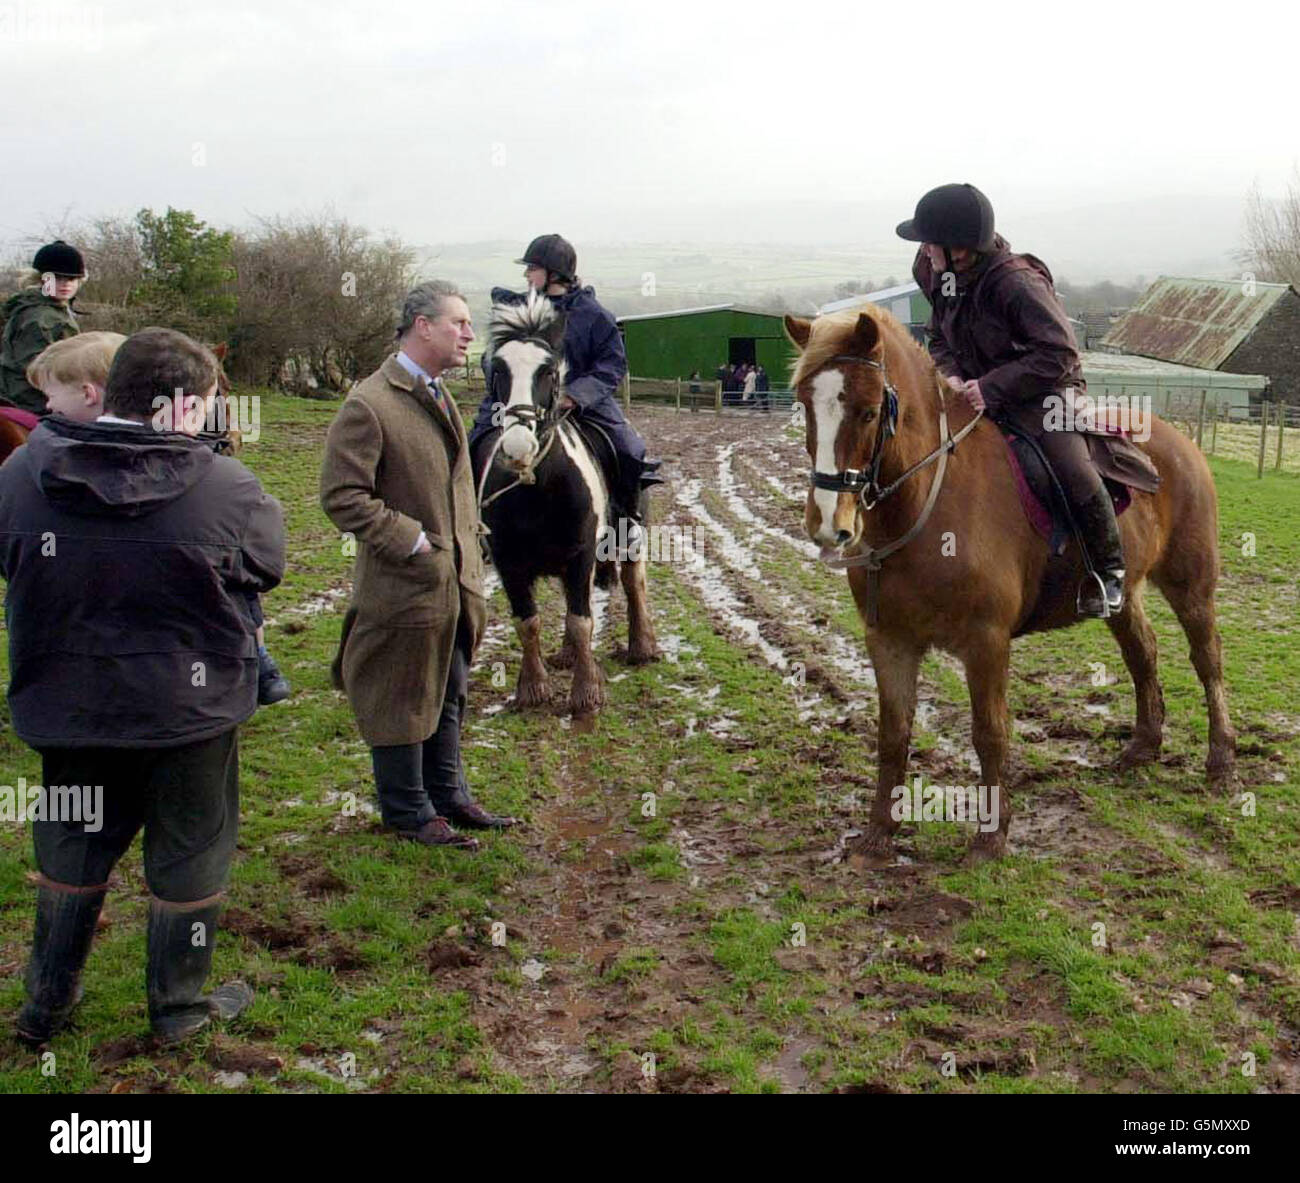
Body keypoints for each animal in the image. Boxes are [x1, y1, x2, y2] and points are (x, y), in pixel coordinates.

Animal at [478, 291, 660, 717]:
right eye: (498, 369)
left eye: (548, 371)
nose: (518, 448)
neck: (536, 487)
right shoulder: (508, 562)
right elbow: (527, 622)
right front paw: (532, 688)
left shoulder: (581, 554)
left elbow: (583, 621)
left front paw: (586, 692)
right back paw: (565, 654)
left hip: (629, 533)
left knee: (634, 583)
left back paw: (641, 646)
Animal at [785, 305, 1232, 863]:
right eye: (806, 406)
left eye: (868, 412)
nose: (829, 524)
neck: (926, 502)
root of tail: (1181, 443)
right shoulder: (888, 639)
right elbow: (893, 734)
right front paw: (877, 834)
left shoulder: (986, 642)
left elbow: (990, 733)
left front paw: (991, 836)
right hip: (1124, 594)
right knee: (1142, 654)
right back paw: (1143, 746)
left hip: (1191, 584)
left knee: (1207, 660)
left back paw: (1221, 759)